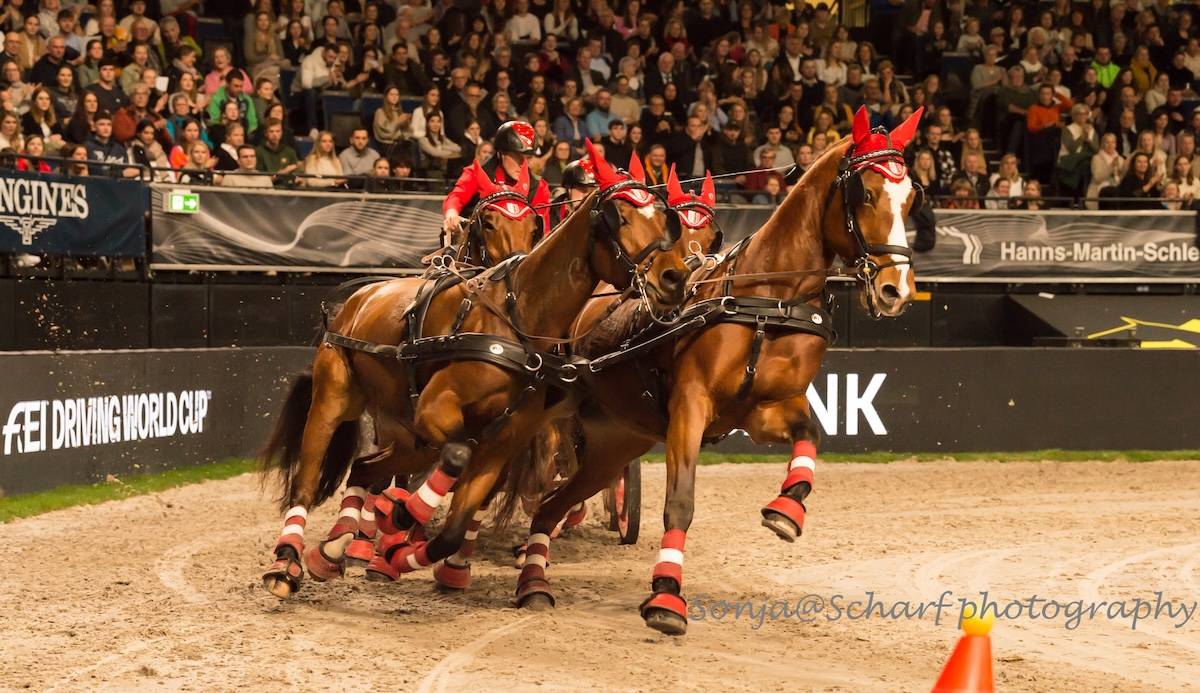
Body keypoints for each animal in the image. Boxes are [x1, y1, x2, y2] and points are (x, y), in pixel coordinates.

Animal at [259, 139, 691, 599]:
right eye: (619, 218)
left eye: (662, 217)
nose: (674, 277)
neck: (514, 321)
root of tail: (356, 298)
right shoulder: (439, 410)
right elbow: (458, 455)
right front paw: (401, 520)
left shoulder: (504, 442)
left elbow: (458, 522)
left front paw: (417, 555)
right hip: (336, 400)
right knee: (308, 480)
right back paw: (289, 561)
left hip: (410, 434)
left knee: (365, 467)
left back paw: (336, 548)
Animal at [512, 107, 924, 635]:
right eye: (866, 193)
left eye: (910, 197)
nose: (897, 288)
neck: (768, 300)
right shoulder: (691, 405)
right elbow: (680, 502)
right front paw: (667, 595)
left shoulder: (763, 410)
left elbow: (810, 434)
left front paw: (788, 508)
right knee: (531, 479)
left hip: (615, 443)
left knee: (552, 505)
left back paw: (534, 582)